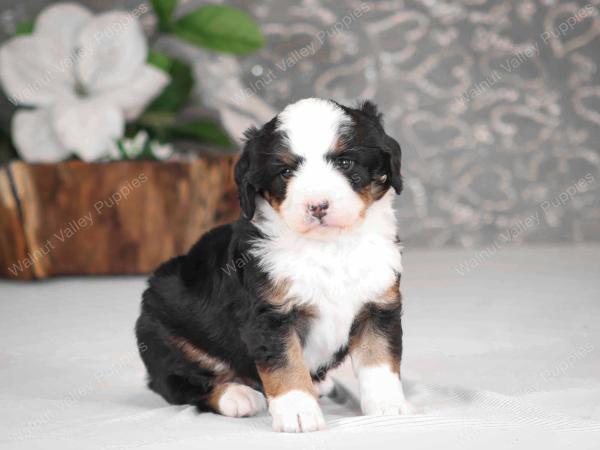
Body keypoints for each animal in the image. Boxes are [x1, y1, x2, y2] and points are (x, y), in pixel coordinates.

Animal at [137, 97, 412, 432]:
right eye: (285, 171)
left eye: (345, 163)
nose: (317, 206)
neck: (329, 247)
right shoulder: (270, 316)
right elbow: (286, 364)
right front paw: (299, 412)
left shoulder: (378, 305)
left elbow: (379, 361)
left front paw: (388, 406)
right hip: (164, 336)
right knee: (178, 383)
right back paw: (236, 396)